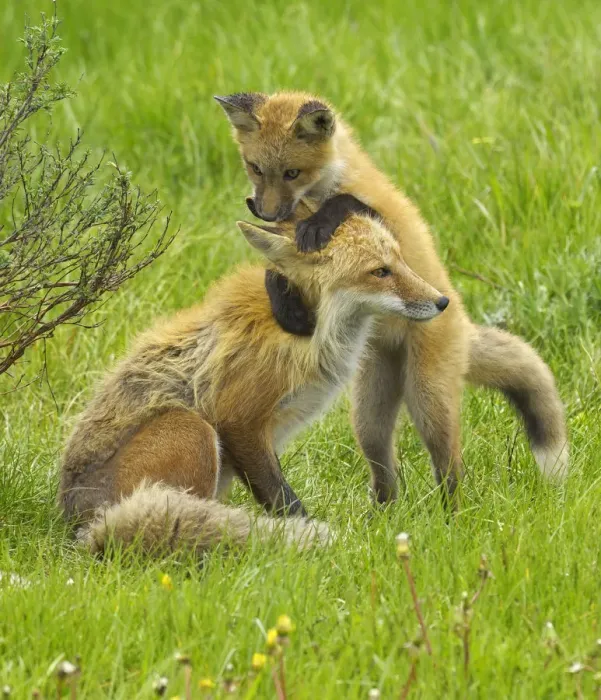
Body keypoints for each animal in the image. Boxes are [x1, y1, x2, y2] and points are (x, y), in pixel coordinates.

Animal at [59, 208, 448, 555]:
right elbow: (284, 501)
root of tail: (82, 525)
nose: (443, 301)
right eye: (380, 272)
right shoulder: (239, 421)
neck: (309, 331)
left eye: (401, 262)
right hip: (193, 431)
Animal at [215, 90, 569, 503]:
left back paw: (452, 513)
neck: (318, 194)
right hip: (368, 415)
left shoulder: (382, 225)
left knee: (451, 467)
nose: (267, 211)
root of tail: (461, 321)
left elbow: (348, 206)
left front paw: (320, 224)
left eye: (292, 173)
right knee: (385, 472)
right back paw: (381, 513)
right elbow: (277, 271)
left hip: (428, 401)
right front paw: (288, 308)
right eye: (255, 168)